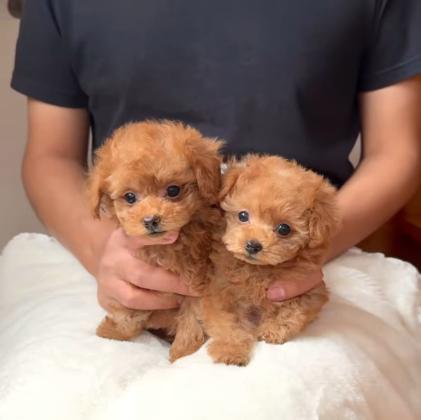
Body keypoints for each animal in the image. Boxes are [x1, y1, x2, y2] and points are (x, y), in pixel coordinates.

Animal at [87, 120, 223, 361]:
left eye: (173, 190)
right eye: (130, 197)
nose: (151, 220)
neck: (168, 247)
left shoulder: (200, 285)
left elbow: (192, 322)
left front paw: (179, 356)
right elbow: (129, 314)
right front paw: (112, 331)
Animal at [199, 154, 340, 366]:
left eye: (284, 229)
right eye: (243, 215)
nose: (253, 245)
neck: (259, 269)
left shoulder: (308, 287)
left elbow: (295, 310)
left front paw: (273, 330)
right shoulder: (218, 291)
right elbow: (227, 324)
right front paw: (231, 350)